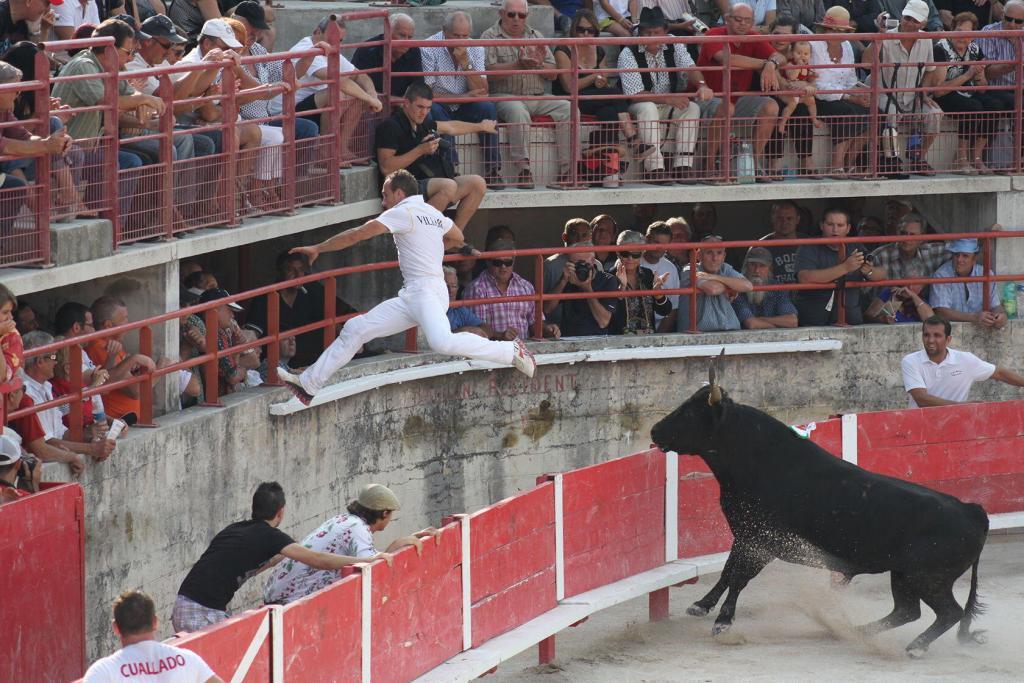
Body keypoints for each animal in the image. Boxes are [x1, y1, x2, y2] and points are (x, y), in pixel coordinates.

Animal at [651, 382, 987, 655]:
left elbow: (739, 578)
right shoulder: (746, 535)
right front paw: (701, 606)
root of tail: (972, 510)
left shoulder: (762, 542)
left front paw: (723, 623)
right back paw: (855, 632)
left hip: (927, 577)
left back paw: (913, 646)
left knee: (948, 612)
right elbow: (727, 572)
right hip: (903, 575)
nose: (654, 431)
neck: (759, 459)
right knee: (907, 611)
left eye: (689, 412)